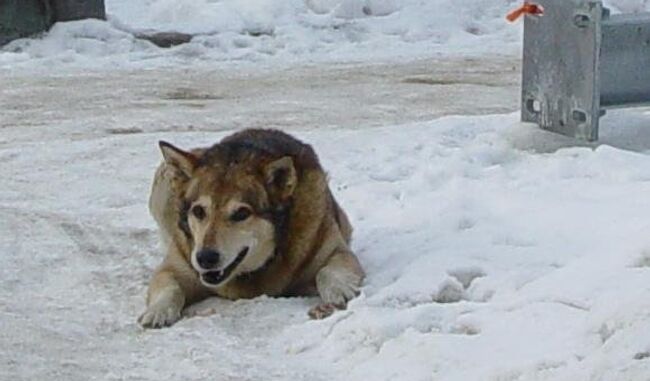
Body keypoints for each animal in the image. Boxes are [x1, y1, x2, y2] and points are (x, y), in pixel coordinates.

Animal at [139, 127, 362, 326]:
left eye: (241, 214)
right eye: (199, 211)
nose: (205, 258)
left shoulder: (333, 249)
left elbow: (327, 271)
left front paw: (339, 290)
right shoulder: (178, 264)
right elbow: (169, 285)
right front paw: (157, 311)